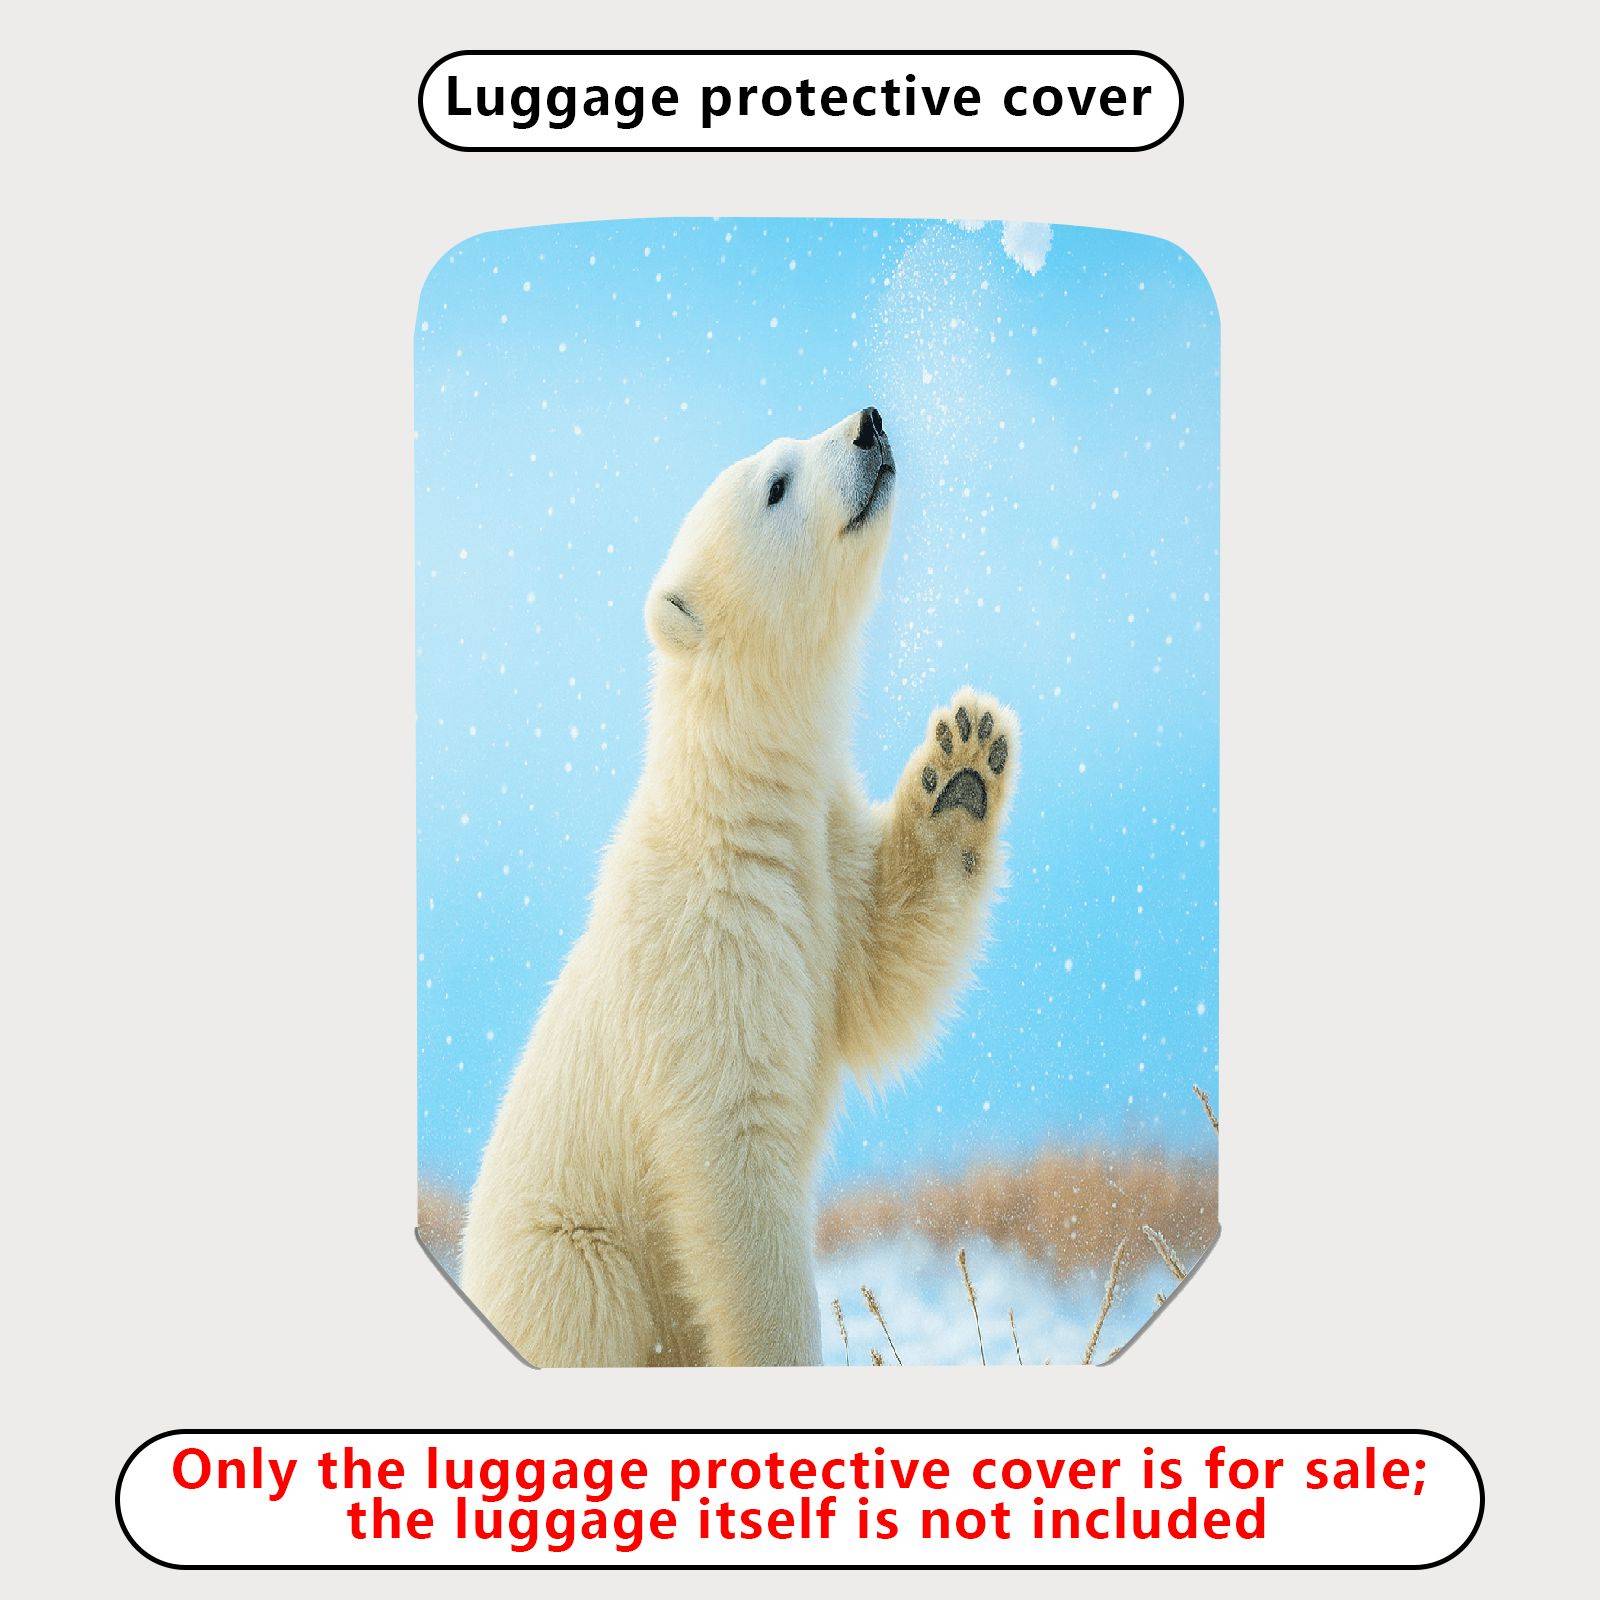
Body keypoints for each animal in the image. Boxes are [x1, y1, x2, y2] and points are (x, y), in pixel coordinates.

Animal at [459, 406, 1019, 1367]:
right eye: (776, 483)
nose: (869, 423)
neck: (737, 800)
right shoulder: (707, 938)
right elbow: (736, 1159)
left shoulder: (825, 870)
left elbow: (884, 968)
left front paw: (963, 763)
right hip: (568, 1256)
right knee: (591, 1311)